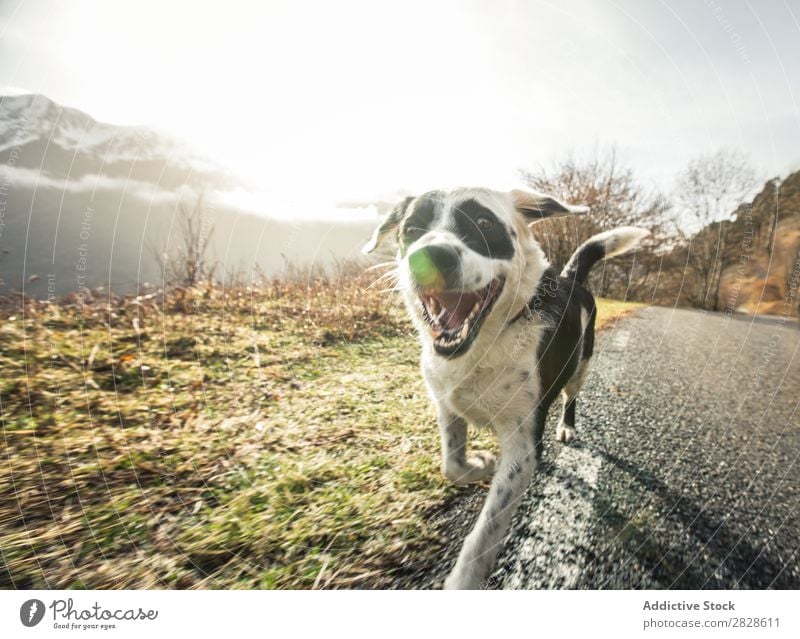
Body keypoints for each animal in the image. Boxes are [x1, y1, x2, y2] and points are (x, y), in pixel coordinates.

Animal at [362, 188, 648, 592]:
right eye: (411, 228)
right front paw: (482, 464)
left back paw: (567, 425)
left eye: (484, 222)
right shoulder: (447, 407)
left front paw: (462, 580)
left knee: (571, 396)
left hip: (581, 366)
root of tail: (571, 280)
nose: (428, 257)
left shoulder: (523, 446)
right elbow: (452, 464)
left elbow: (485, 533)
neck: (487, 341)